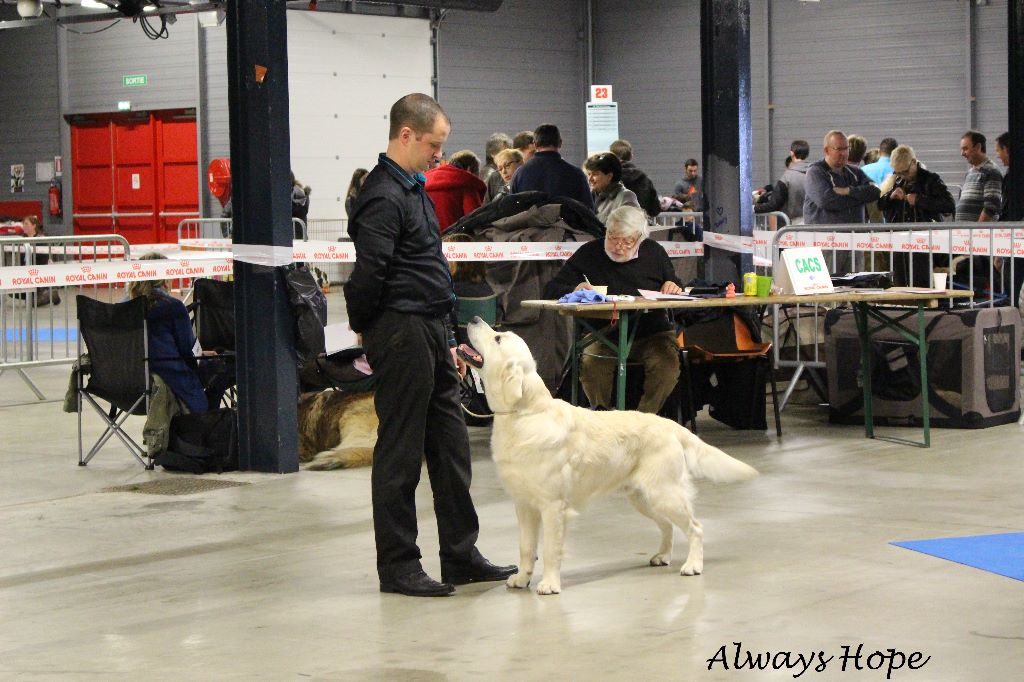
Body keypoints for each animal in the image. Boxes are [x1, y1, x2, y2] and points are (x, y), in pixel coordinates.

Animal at [468, 317, 757, 589]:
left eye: (497, 339)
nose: (473, 319)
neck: (523, 415)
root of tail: (671, 425)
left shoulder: (552, 506)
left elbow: (550, 550)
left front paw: (549, 584)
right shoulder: (524, 504)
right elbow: (526, 548)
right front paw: (521, 579)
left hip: (665, 493)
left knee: (695, 527)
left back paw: (693, 565)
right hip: (644, 497)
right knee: (667, 525)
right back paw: (662, 556)